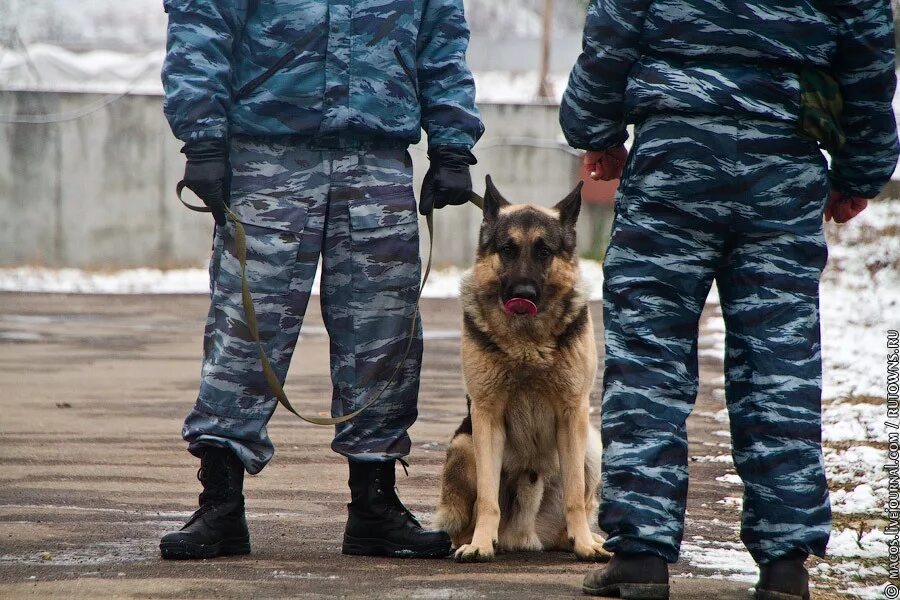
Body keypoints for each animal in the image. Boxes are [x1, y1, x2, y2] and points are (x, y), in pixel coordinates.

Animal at [434, 177, 608, 564]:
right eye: (507, 250)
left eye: (544, 252)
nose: (523, 293)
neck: (527, 342)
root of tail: (525, 535)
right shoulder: (486, 417)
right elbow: (488, 499)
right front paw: (481, 544)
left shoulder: (572, 414)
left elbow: (575, 496)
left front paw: (585, 544)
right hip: (464, 446)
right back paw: (480, 540)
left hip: (591, 446)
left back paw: (586, 539)